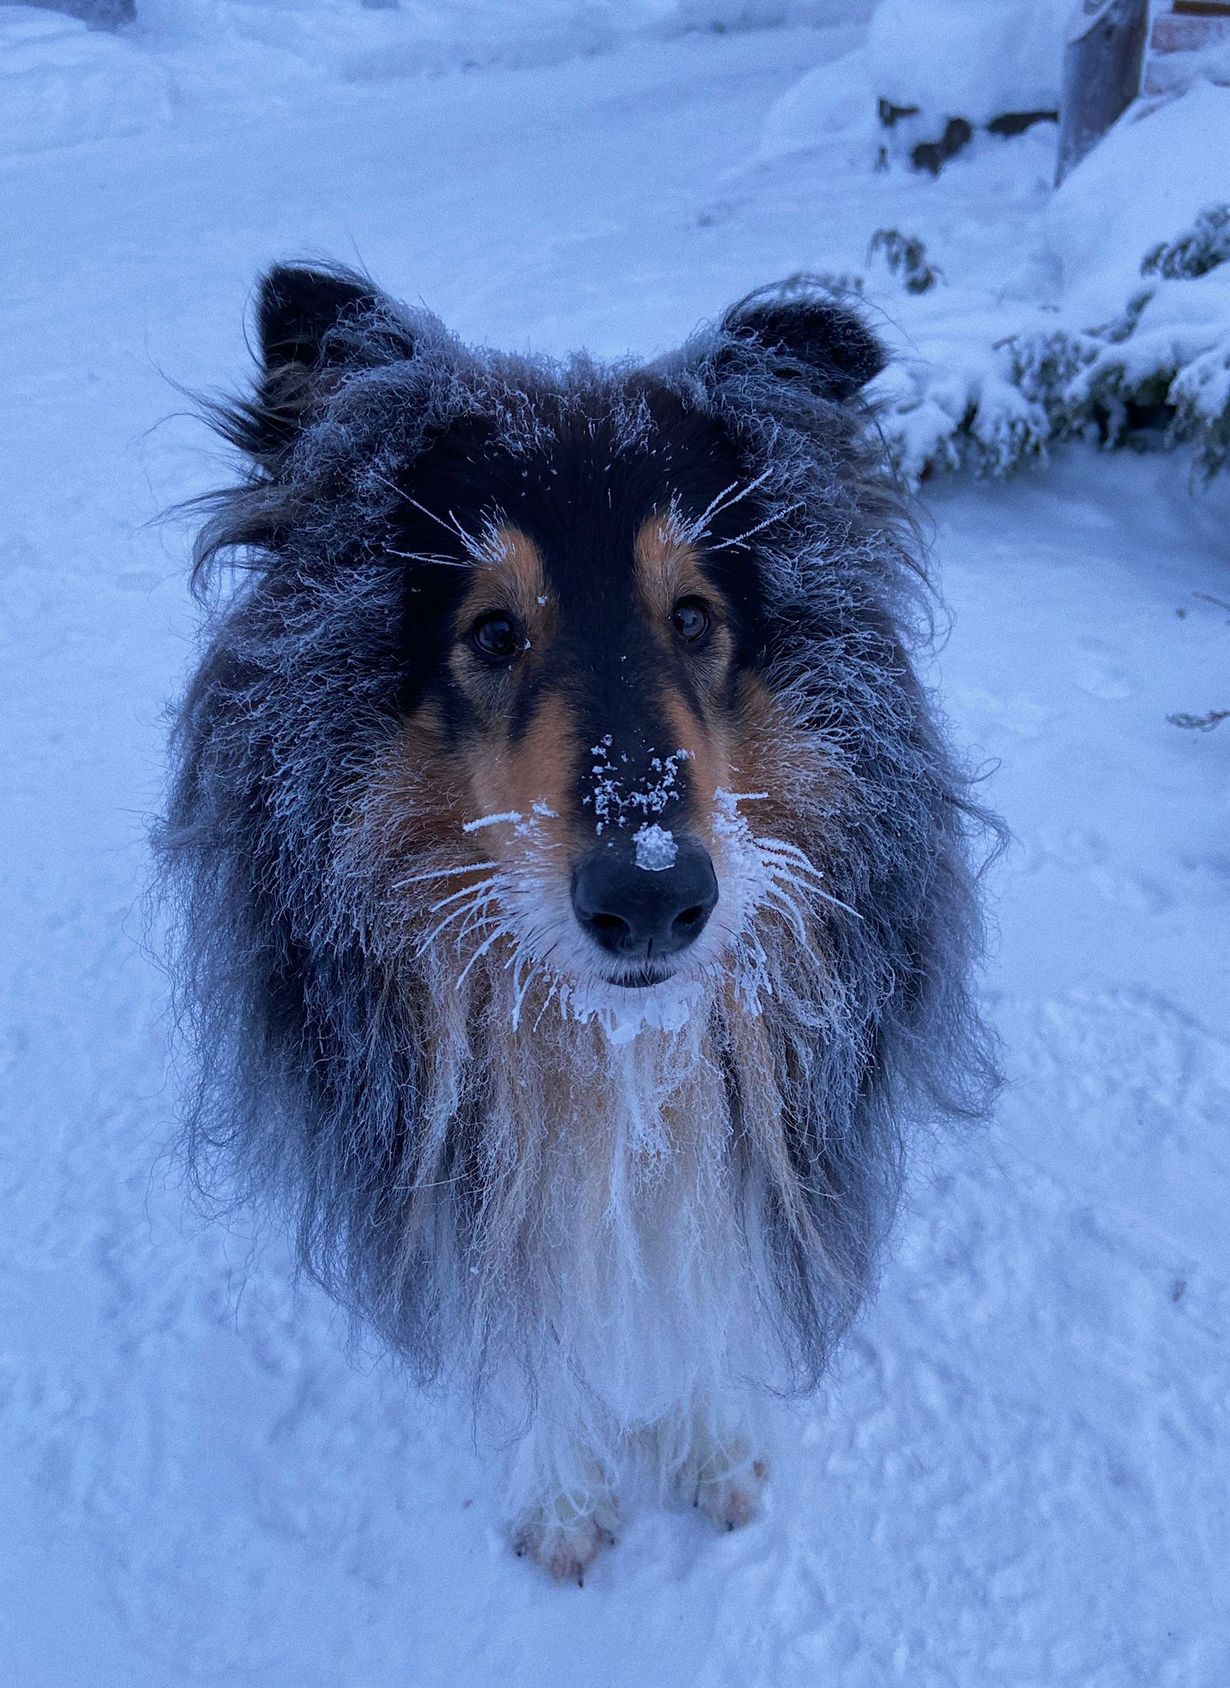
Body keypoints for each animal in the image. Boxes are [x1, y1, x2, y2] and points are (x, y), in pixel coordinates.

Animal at [157, 264, 999, 1582]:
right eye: (493, 632)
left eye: (694, 616)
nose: (652, 897)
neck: (609, 1045)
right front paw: (563, 1504)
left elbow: (701, 1283)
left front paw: (716, 1453)